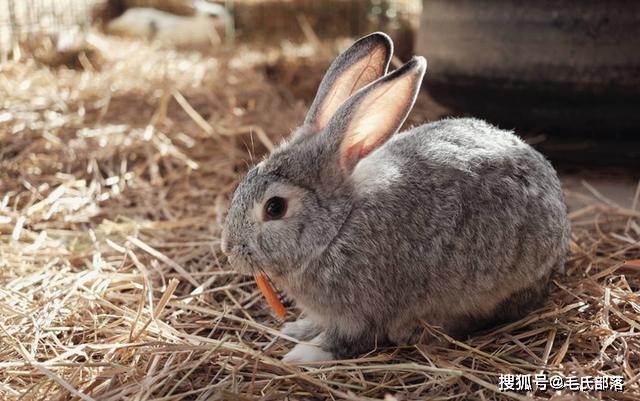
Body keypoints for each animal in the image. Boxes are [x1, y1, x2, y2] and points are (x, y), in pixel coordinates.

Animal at [221, 32, 568, 362]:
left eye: (275, 207)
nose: (229, 250)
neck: (336, 229)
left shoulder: (361, 313)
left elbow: (346, 341)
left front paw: (304, 354)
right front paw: (296, 330)